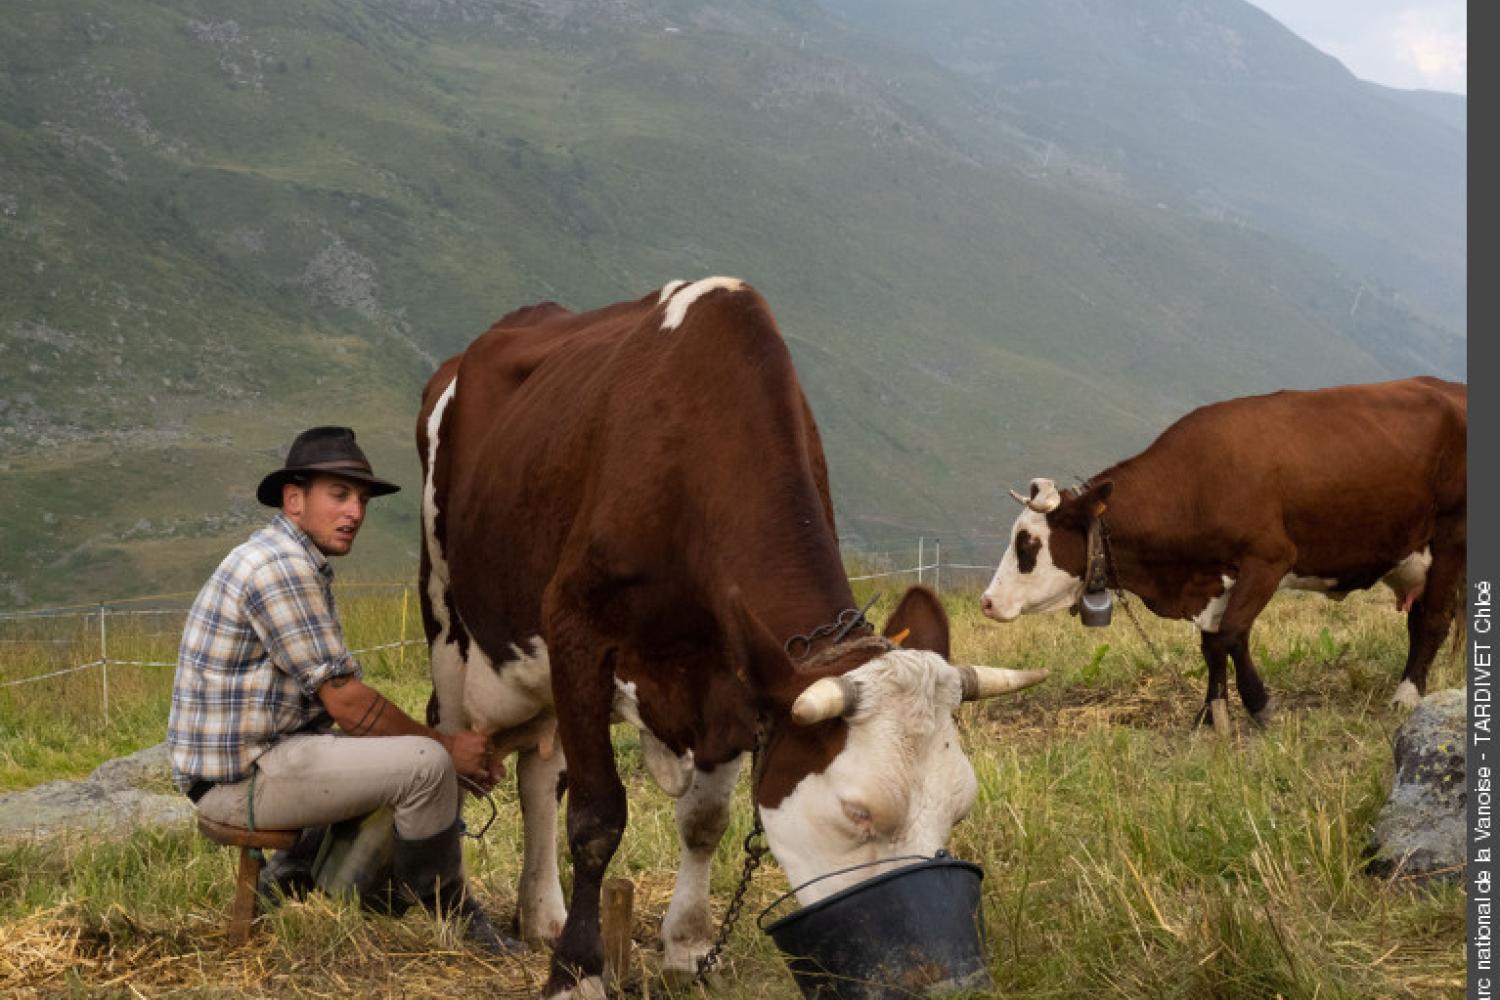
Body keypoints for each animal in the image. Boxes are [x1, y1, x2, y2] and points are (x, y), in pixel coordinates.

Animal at [414, 277, 1044, 995]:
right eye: (858, 812)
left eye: (958, 810)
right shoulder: (576, 632)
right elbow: (597, 817)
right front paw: (576, 970)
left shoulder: (732, 680)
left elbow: (704, 822)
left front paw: (687, 947)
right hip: (448, 623)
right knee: (457, 754)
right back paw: (463, 914)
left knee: (540, 773)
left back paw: (541, 912)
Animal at [984, 374, 1464, 728]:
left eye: (1027, 543)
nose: (987, 601)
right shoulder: (1213, 575)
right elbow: (1212, 643)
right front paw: (1211, 713)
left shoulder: (1269, 559)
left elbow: (1232, 633)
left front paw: (1259, 704)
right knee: (1423, 619)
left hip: (1451, 534)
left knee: (1433, 621)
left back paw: (1406, 696)